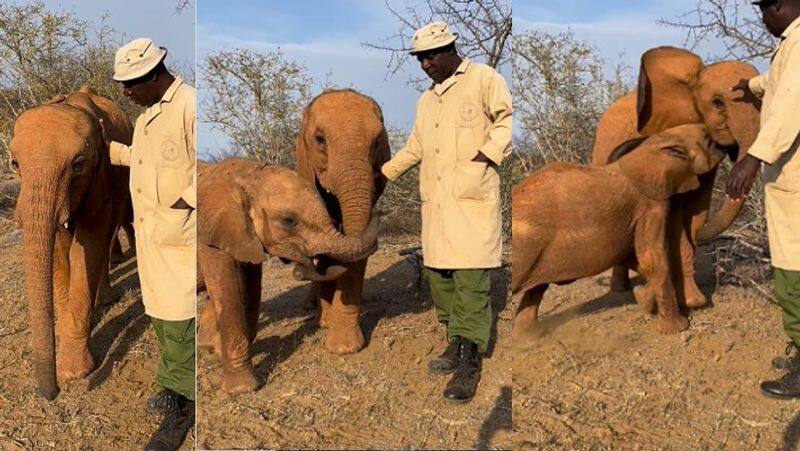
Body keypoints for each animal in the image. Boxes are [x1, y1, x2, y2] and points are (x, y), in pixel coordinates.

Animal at [196, 160, 378, 396]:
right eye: (288, 221)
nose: (298, 270)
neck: (245, 174)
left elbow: (251, 285)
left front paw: (217, 352)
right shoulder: (208, 236)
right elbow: (227, 291)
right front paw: (241, 390)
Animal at [512, 125, 724, 338]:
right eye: (709, 140)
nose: (723, 150)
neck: (657, 143)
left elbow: (638, 260)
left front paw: (642, 297)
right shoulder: (651, 204)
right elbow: (652, 259)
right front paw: (678, 328)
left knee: (536, 288)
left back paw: (529, 336)